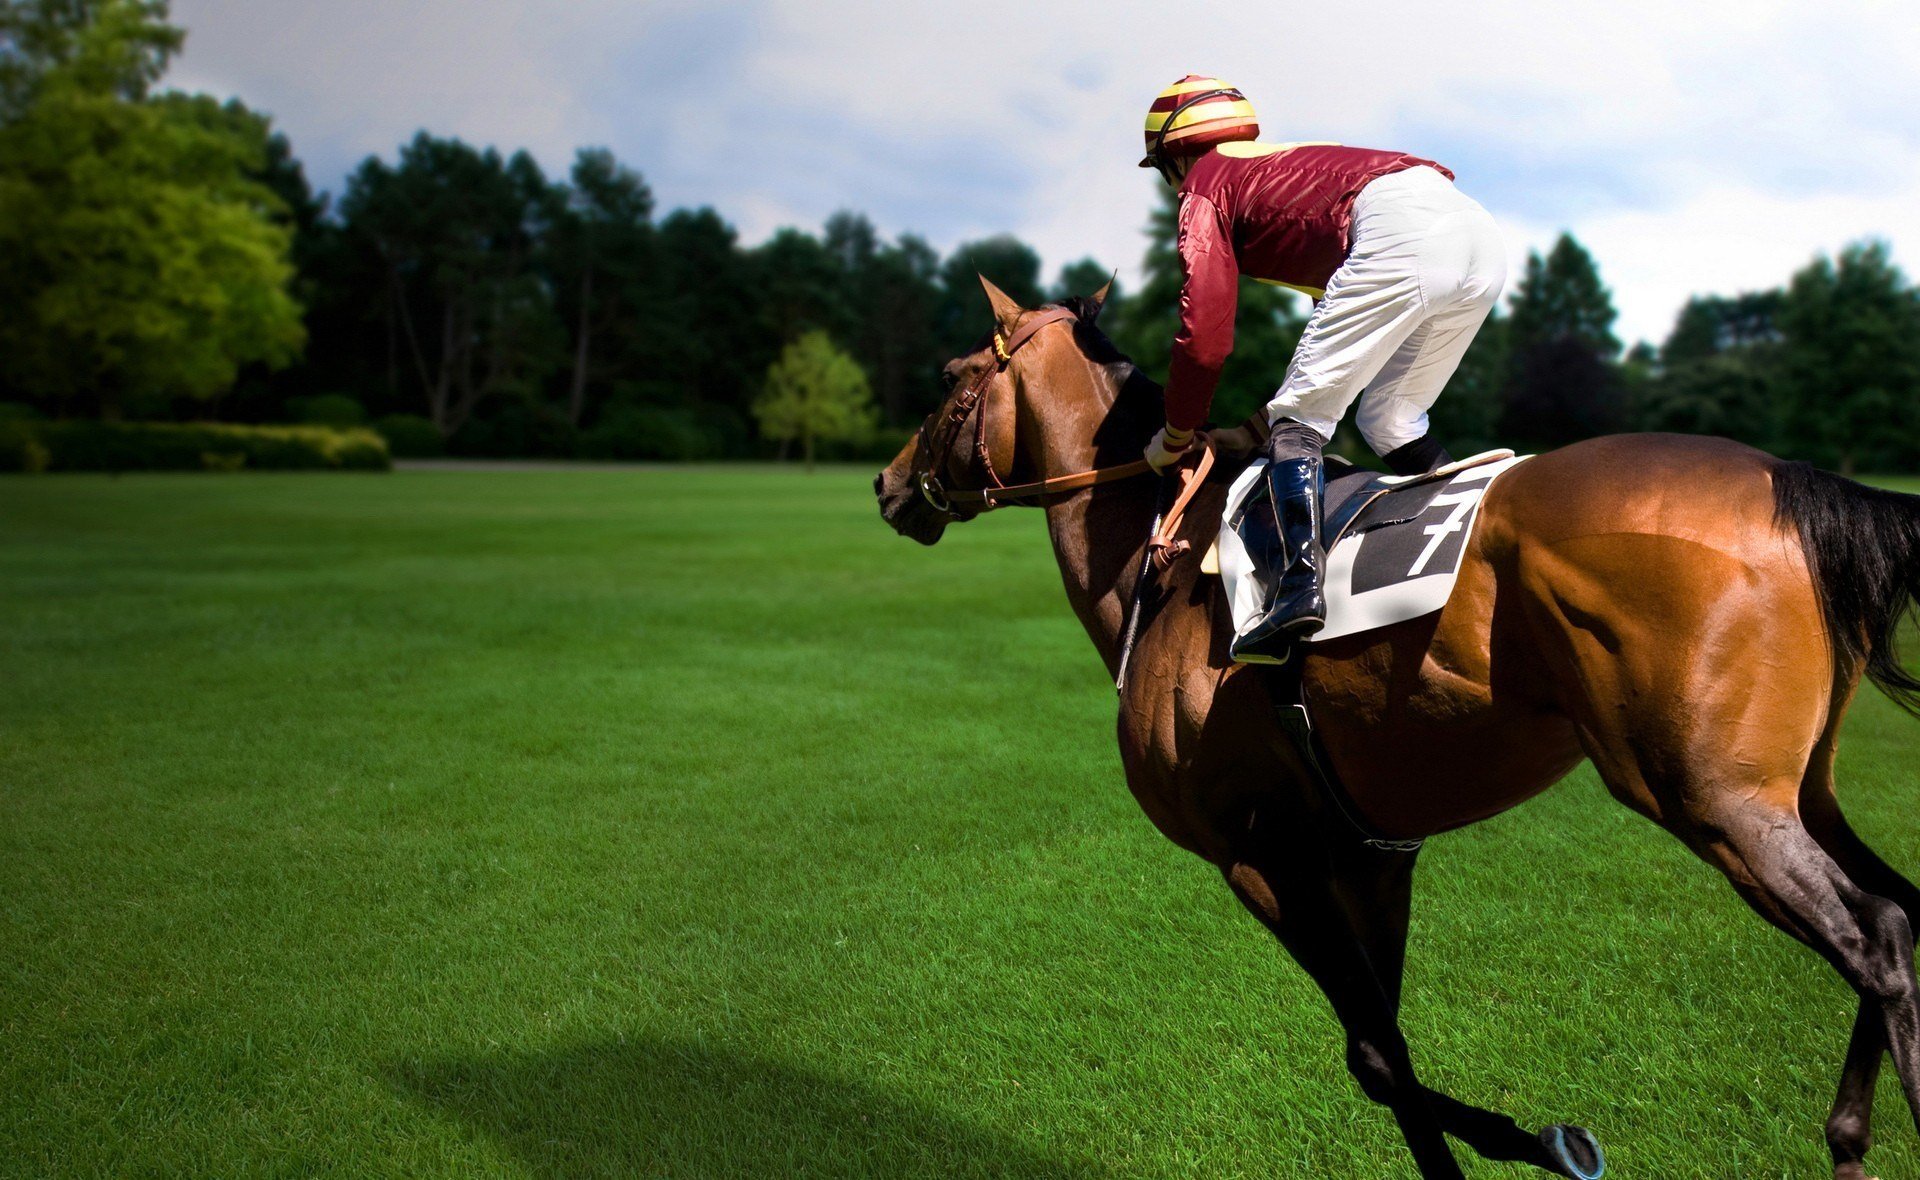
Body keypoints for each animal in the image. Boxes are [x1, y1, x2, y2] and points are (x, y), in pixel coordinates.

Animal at [873, 275, 1920, 1180]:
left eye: (952, 378)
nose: (886, 484)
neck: (1158, 558)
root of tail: (1793, 481)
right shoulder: (1371, 853)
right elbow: (1390, 1054)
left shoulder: (1262, 852)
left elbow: (1375, 1059)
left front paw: (1553, 1144)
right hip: (1798, 790)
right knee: (1903, 906)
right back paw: (1847, 1142)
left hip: (1714, 798)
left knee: (1876, 937)